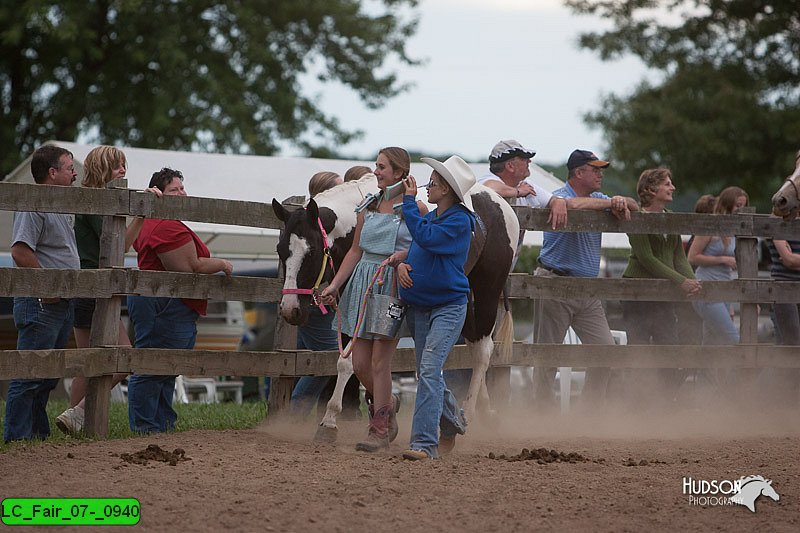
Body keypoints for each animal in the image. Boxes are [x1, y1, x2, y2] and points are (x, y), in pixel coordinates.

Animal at [272, 175, 520, 440]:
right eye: (280, 250)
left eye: (312, 252)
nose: (289, 309)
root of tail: (500, 204)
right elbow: (353, 361)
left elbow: (348, 363)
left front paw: (329, 421)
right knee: (475, 343)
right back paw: (487, 412)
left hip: (487, 290)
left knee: (483, 349)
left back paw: (470, 415)